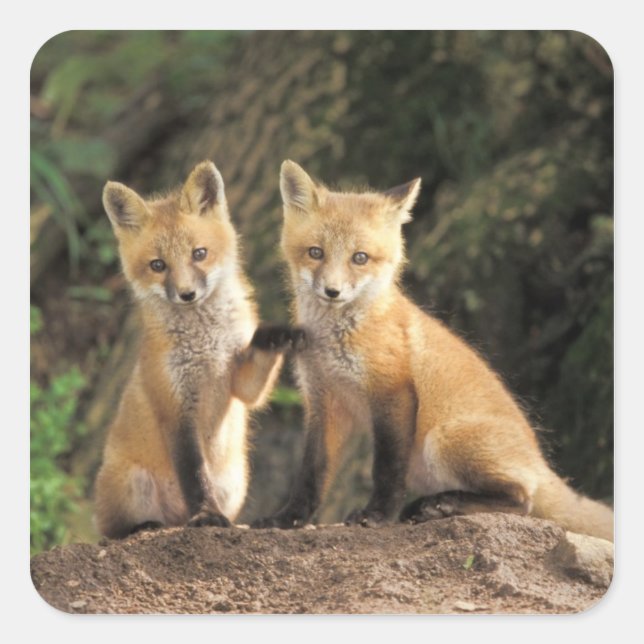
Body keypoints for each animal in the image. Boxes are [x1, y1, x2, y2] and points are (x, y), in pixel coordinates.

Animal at [94, 160, 305, 539]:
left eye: (199, 254)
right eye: (158, 265)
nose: (187, 294)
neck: (206, 345)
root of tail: (175, 519)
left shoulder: (240, 382)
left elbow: (255, 373)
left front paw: (278, 335)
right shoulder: (176, 408)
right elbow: (194, 476)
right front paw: (206, 515)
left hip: (235, 484)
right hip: (132, 484)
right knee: (112, 530)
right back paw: (146, 526)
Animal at [252, 160, 614, 542]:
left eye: (359, 258)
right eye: (315, 252)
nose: (332, 291)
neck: (335, 339)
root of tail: (539, 461)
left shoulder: (393, 392)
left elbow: (386, 468)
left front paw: (377, 515)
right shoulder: (323, 402)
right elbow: (311, 473)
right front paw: (288, 519)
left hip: (442, 439)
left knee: (523, 499)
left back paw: (442, 505)